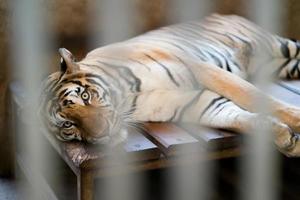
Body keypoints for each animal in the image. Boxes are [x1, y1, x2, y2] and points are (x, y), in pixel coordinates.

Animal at [39, 14, 300, 157]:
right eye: (68, 124)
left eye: (84, 96)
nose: (102, 133)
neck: (130, 98)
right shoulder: (192, 103)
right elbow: (236, 117)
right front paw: (285, 139)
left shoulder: (200, 68)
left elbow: (249, 94)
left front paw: (295, 120)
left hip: (278, 46)